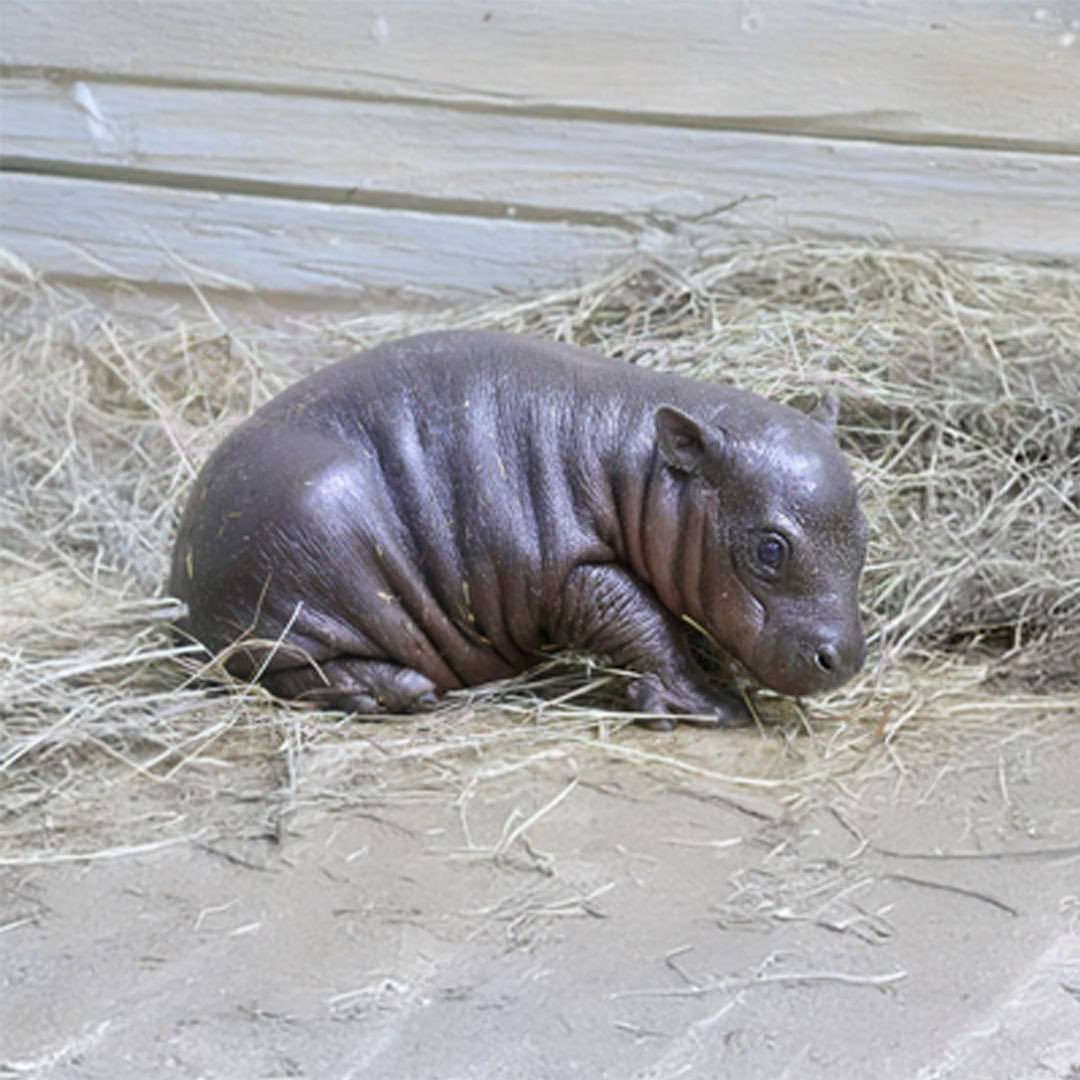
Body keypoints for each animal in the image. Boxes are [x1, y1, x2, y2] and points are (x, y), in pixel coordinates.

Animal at [170, 331, 867, 727]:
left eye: (863, 530)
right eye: (770, 547)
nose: (847, 659)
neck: (640, 465)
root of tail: (179, 571)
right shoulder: (571, 572)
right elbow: (643, 622)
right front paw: (714, 707)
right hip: (306, 568)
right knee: (287, 675)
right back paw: (401, 692)